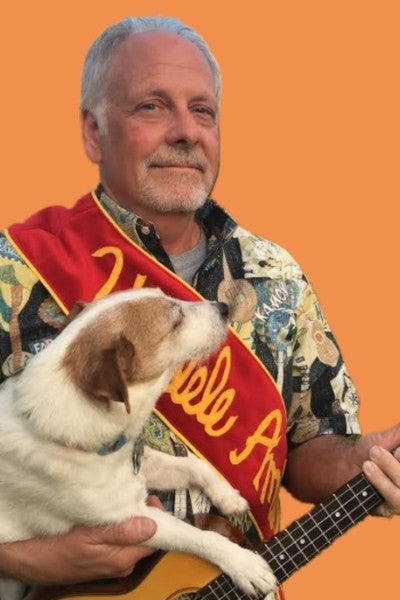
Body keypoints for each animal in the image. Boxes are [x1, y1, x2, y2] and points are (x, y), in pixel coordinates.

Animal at [0, 288, 276, 600]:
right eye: (175, 321)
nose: (225, 307)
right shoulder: (130, 517)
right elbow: (196, 536)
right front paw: (244, 564)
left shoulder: (139, 466)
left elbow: (195, 465)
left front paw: (228, 496)